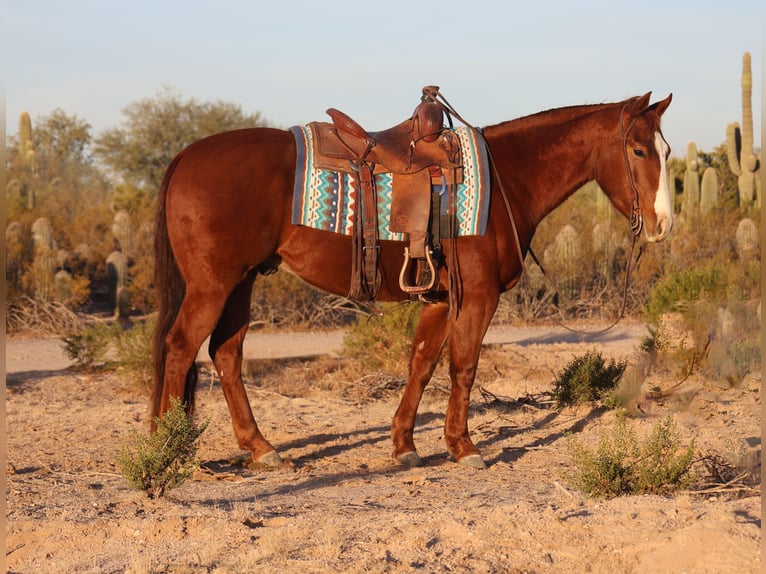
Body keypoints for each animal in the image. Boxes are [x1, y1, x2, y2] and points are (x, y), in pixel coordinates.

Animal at [150, 89, 672, 468]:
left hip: (241, 283)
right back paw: (165, 450)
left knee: (225, 354)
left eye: (667, 150)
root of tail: (183, 157)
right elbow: (463, 366)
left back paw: (260, 448)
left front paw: (404, 445)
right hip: (214, 285)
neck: (507, 178)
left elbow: (421, 365)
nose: (664, 223)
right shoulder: (477, 297)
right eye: (639, 150)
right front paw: (463, 447)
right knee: (181, 347)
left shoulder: (439, 300)